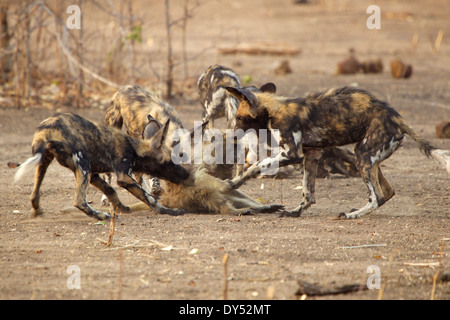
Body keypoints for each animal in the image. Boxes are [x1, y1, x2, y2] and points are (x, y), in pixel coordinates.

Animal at [14, 112, 188, 220]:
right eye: (169, 162)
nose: (186, 175)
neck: (134, 148)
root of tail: (47, 129)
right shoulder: (124, 176)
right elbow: (150, 199)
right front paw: (169, 211)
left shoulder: (93, 175)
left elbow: (110, 191)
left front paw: (121, 208)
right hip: (83, 165)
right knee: (79, 201)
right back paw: (102, 216)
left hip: (46, 162)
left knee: (34, 195)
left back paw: (37, 211)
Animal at [227, 84, 450, 220]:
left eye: (239, 117)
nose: (231, 133)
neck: (274, 109)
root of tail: (399, 119)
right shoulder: (311, 155)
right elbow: (308, 193)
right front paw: (295, 212)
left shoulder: (291, 154)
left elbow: (256, 166)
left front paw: (234, 182)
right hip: (370, 158)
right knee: (387, 191)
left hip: (362, 155)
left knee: (376, 196)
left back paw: (351, 215)